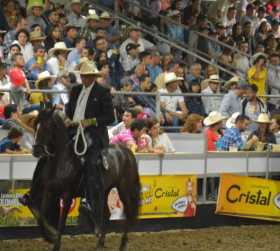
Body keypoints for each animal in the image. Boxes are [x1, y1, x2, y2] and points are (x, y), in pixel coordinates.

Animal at [29, 107, 140, 251]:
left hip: (124, 188)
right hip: (104, 189)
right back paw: (100, 243)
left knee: (129, 212)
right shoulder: (49, 192)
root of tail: (127, 152)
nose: (36, 150)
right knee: (106, 213)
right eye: (35, 125)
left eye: (47, 126)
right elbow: (41, 216)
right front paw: (50, 236)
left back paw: (122, 244)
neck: (63, 162)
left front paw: (55, 243)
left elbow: (61, 223)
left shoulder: (67, 196)